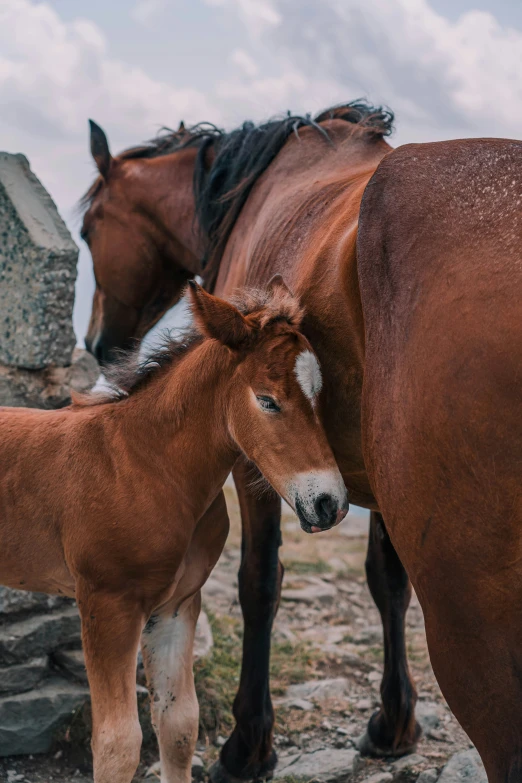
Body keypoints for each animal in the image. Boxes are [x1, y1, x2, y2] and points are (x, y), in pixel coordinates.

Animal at [0, 282, 346, 783]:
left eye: (319, 393)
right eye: (267, 400)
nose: (330, 503)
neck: (147, 465)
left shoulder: (177, 604)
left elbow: (179, 725)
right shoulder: (108, 605)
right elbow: (118, 745)